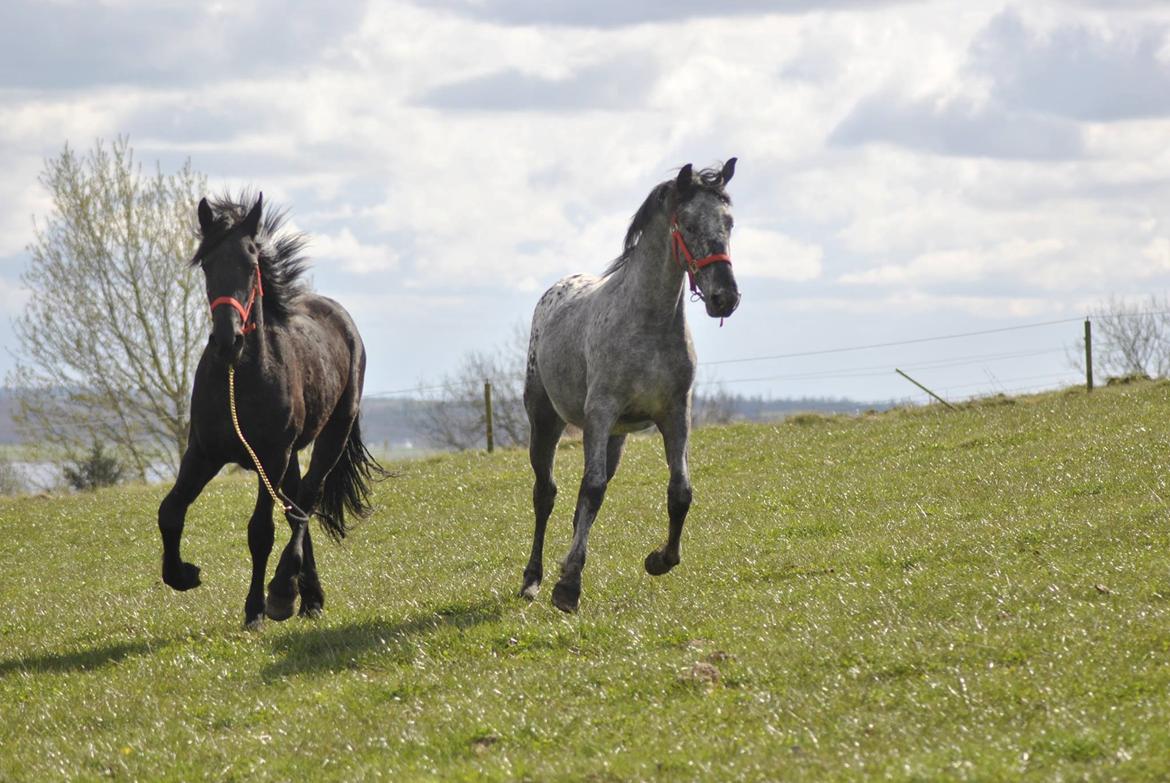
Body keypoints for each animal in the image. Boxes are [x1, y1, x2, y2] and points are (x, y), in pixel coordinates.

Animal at [155, 195, 381, 627]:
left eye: (251, 262)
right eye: (206, 264)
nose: (228, 340)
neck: (239, 379)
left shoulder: (270, 457)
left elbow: (260, 531)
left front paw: (260, 607)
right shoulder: (203, 453)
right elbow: (170, 511)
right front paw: (183, 574)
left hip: (331, 435)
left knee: (306, 501)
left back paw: (288, 591)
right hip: (290, 456)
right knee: (297, 505)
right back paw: (310, 598)